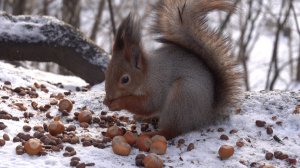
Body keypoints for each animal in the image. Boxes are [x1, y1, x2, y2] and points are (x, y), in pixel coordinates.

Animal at [103, 0, 241, 139]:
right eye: (107, 72)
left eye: (125, 79)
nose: (109, 96)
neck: (147, 74)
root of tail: (206, 114)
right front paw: (106, 101)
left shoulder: (156, 88)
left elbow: (146, 105)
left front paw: (117, 103)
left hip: (181, 98)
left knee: (171, 131)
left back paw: (152, 134)